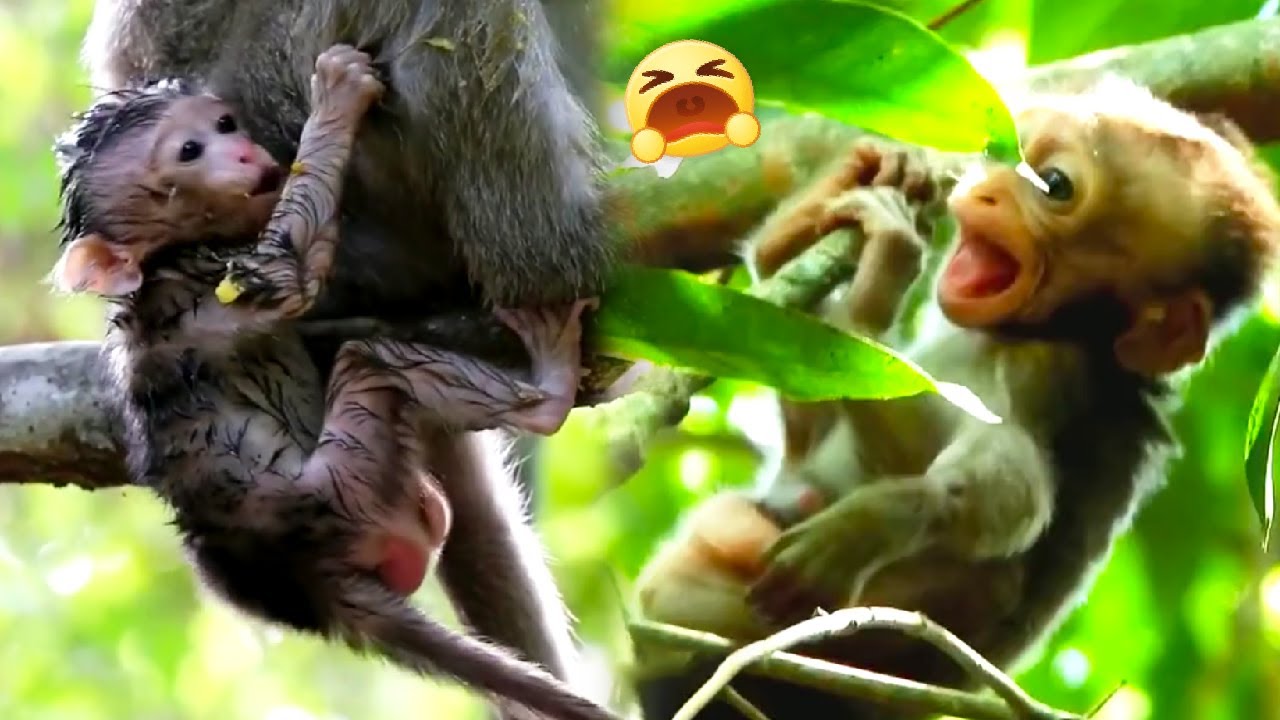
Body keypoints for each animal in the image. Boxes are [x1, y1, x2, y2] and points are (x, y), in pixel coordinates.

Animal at [49, 45, 618, 720]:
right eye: (190, 150)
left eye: (225, 125)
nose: (246, 154)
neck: (170, 258)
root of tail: (311, 586)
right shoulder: (216, 289)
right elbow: (293, 273)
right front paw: (337, 97)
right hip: (349, 489)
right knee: (370, 364)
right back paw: (548, 393)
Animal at [628, 77, 1280, 719]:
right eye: (1019, 152)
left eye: (1055, 185)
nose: (988, 190)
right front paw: (852, 183)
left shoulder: (1044, 372)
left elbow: (1009, 488)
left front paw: (888, 513)